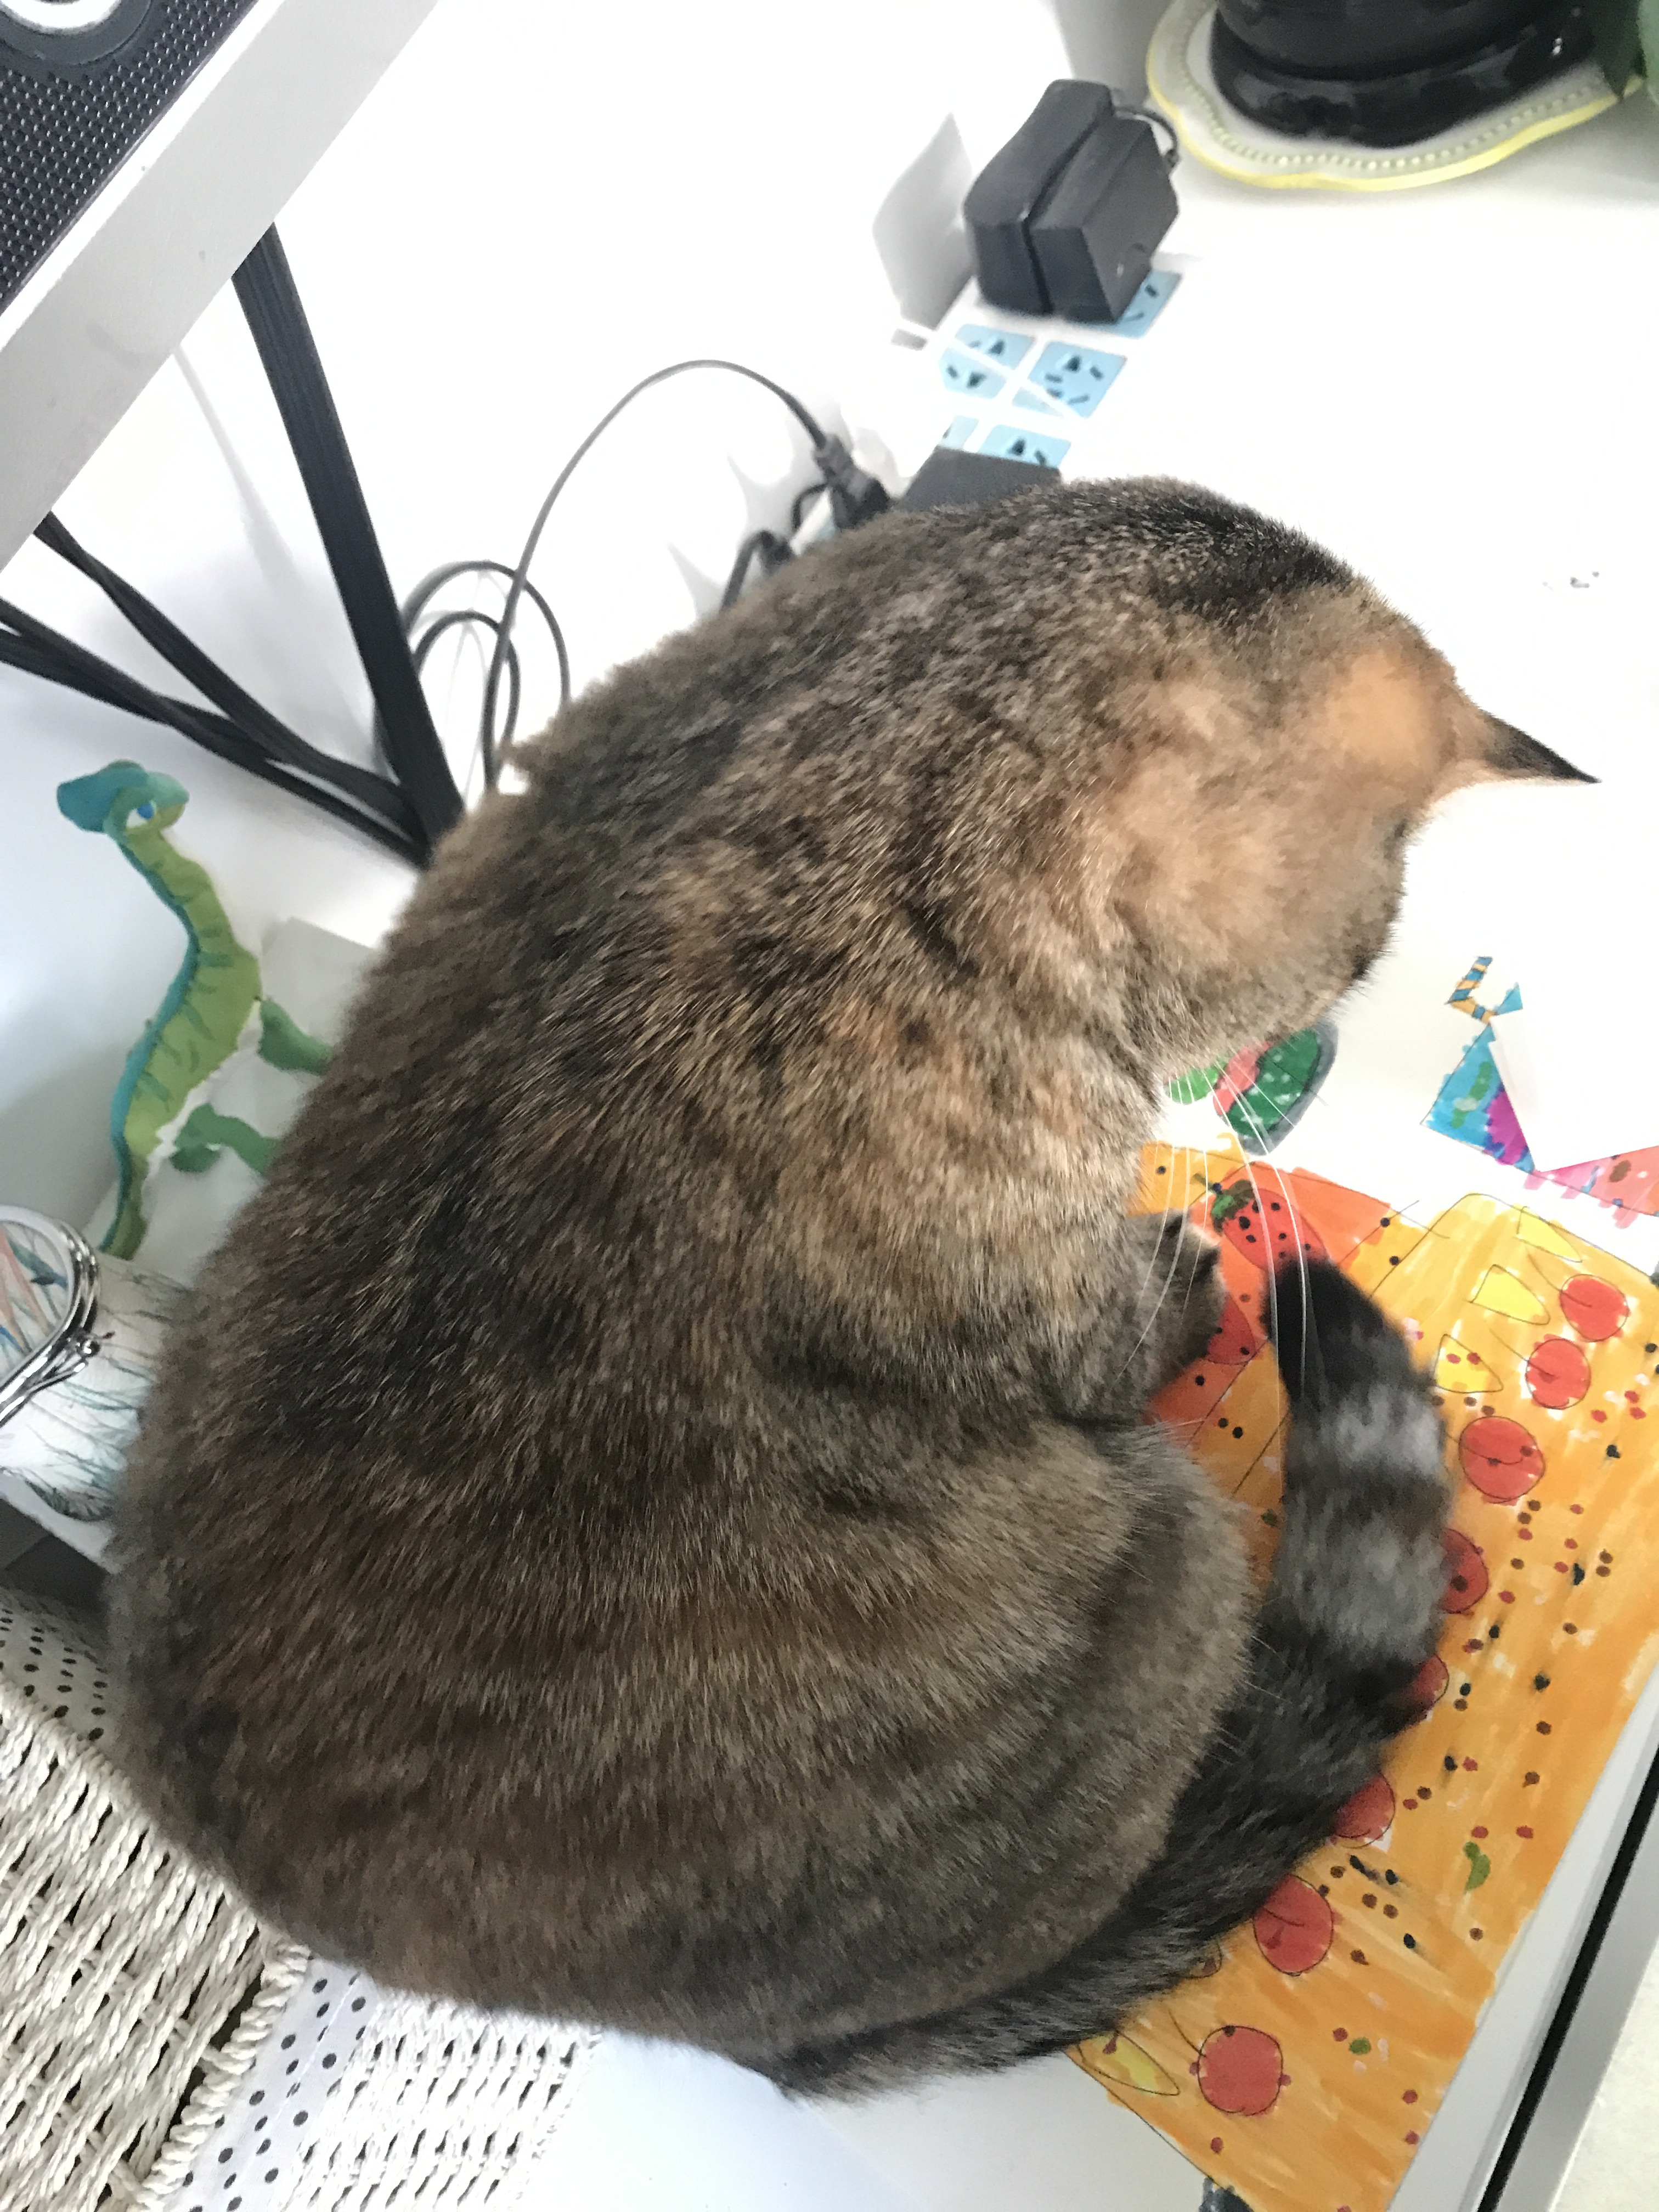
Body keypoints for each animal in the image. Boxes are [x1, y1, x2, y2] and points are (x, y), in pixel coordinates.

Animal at [112, 478, 1590, 2094]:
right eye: (1359, 956)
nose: (1303, 1058)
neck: (836, 755)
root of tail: (784, 2053)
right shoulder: (1060, 1286)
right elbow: (1117, 1325)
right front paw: (1182, 1272)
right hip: (1182, 1545)